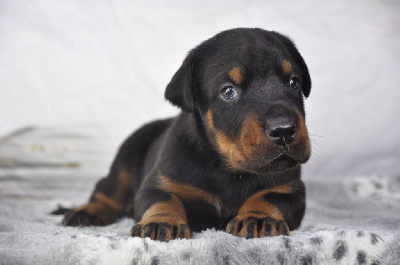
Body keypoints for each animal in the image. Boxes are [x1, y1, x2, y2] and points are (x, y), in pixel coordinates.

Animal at [63, 27, 312, 241]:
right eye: (228, 91)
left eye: (293, 82)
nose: (284, 130)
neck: (226, 168)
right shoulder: (159, 182)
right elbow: (163, 199)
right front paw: (162, 222)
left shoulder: (291, 189)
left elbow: (269, 196)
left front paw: (258, 217)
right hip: (125, 159)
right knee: (107, 191)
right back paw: (87, 211)